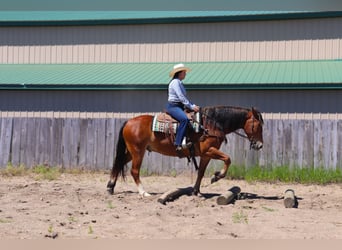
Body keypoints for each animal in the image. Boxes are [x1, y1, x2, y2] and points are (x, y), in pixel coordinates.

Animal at [107, 104, 264, 196]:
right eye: (258, 125)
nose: (260, 145)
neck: (210, 125)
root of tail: (129, 121)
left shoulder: (206, 155)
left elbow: (201, 172)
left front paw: (196, 191)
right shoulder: (209, 150)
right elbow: (228, 159)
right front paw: (216, 176)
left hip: (131, 152)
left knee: (118, 163)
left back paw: (110, 187)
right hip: (138, 151)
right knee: (134, 171)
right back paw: (143, 192)